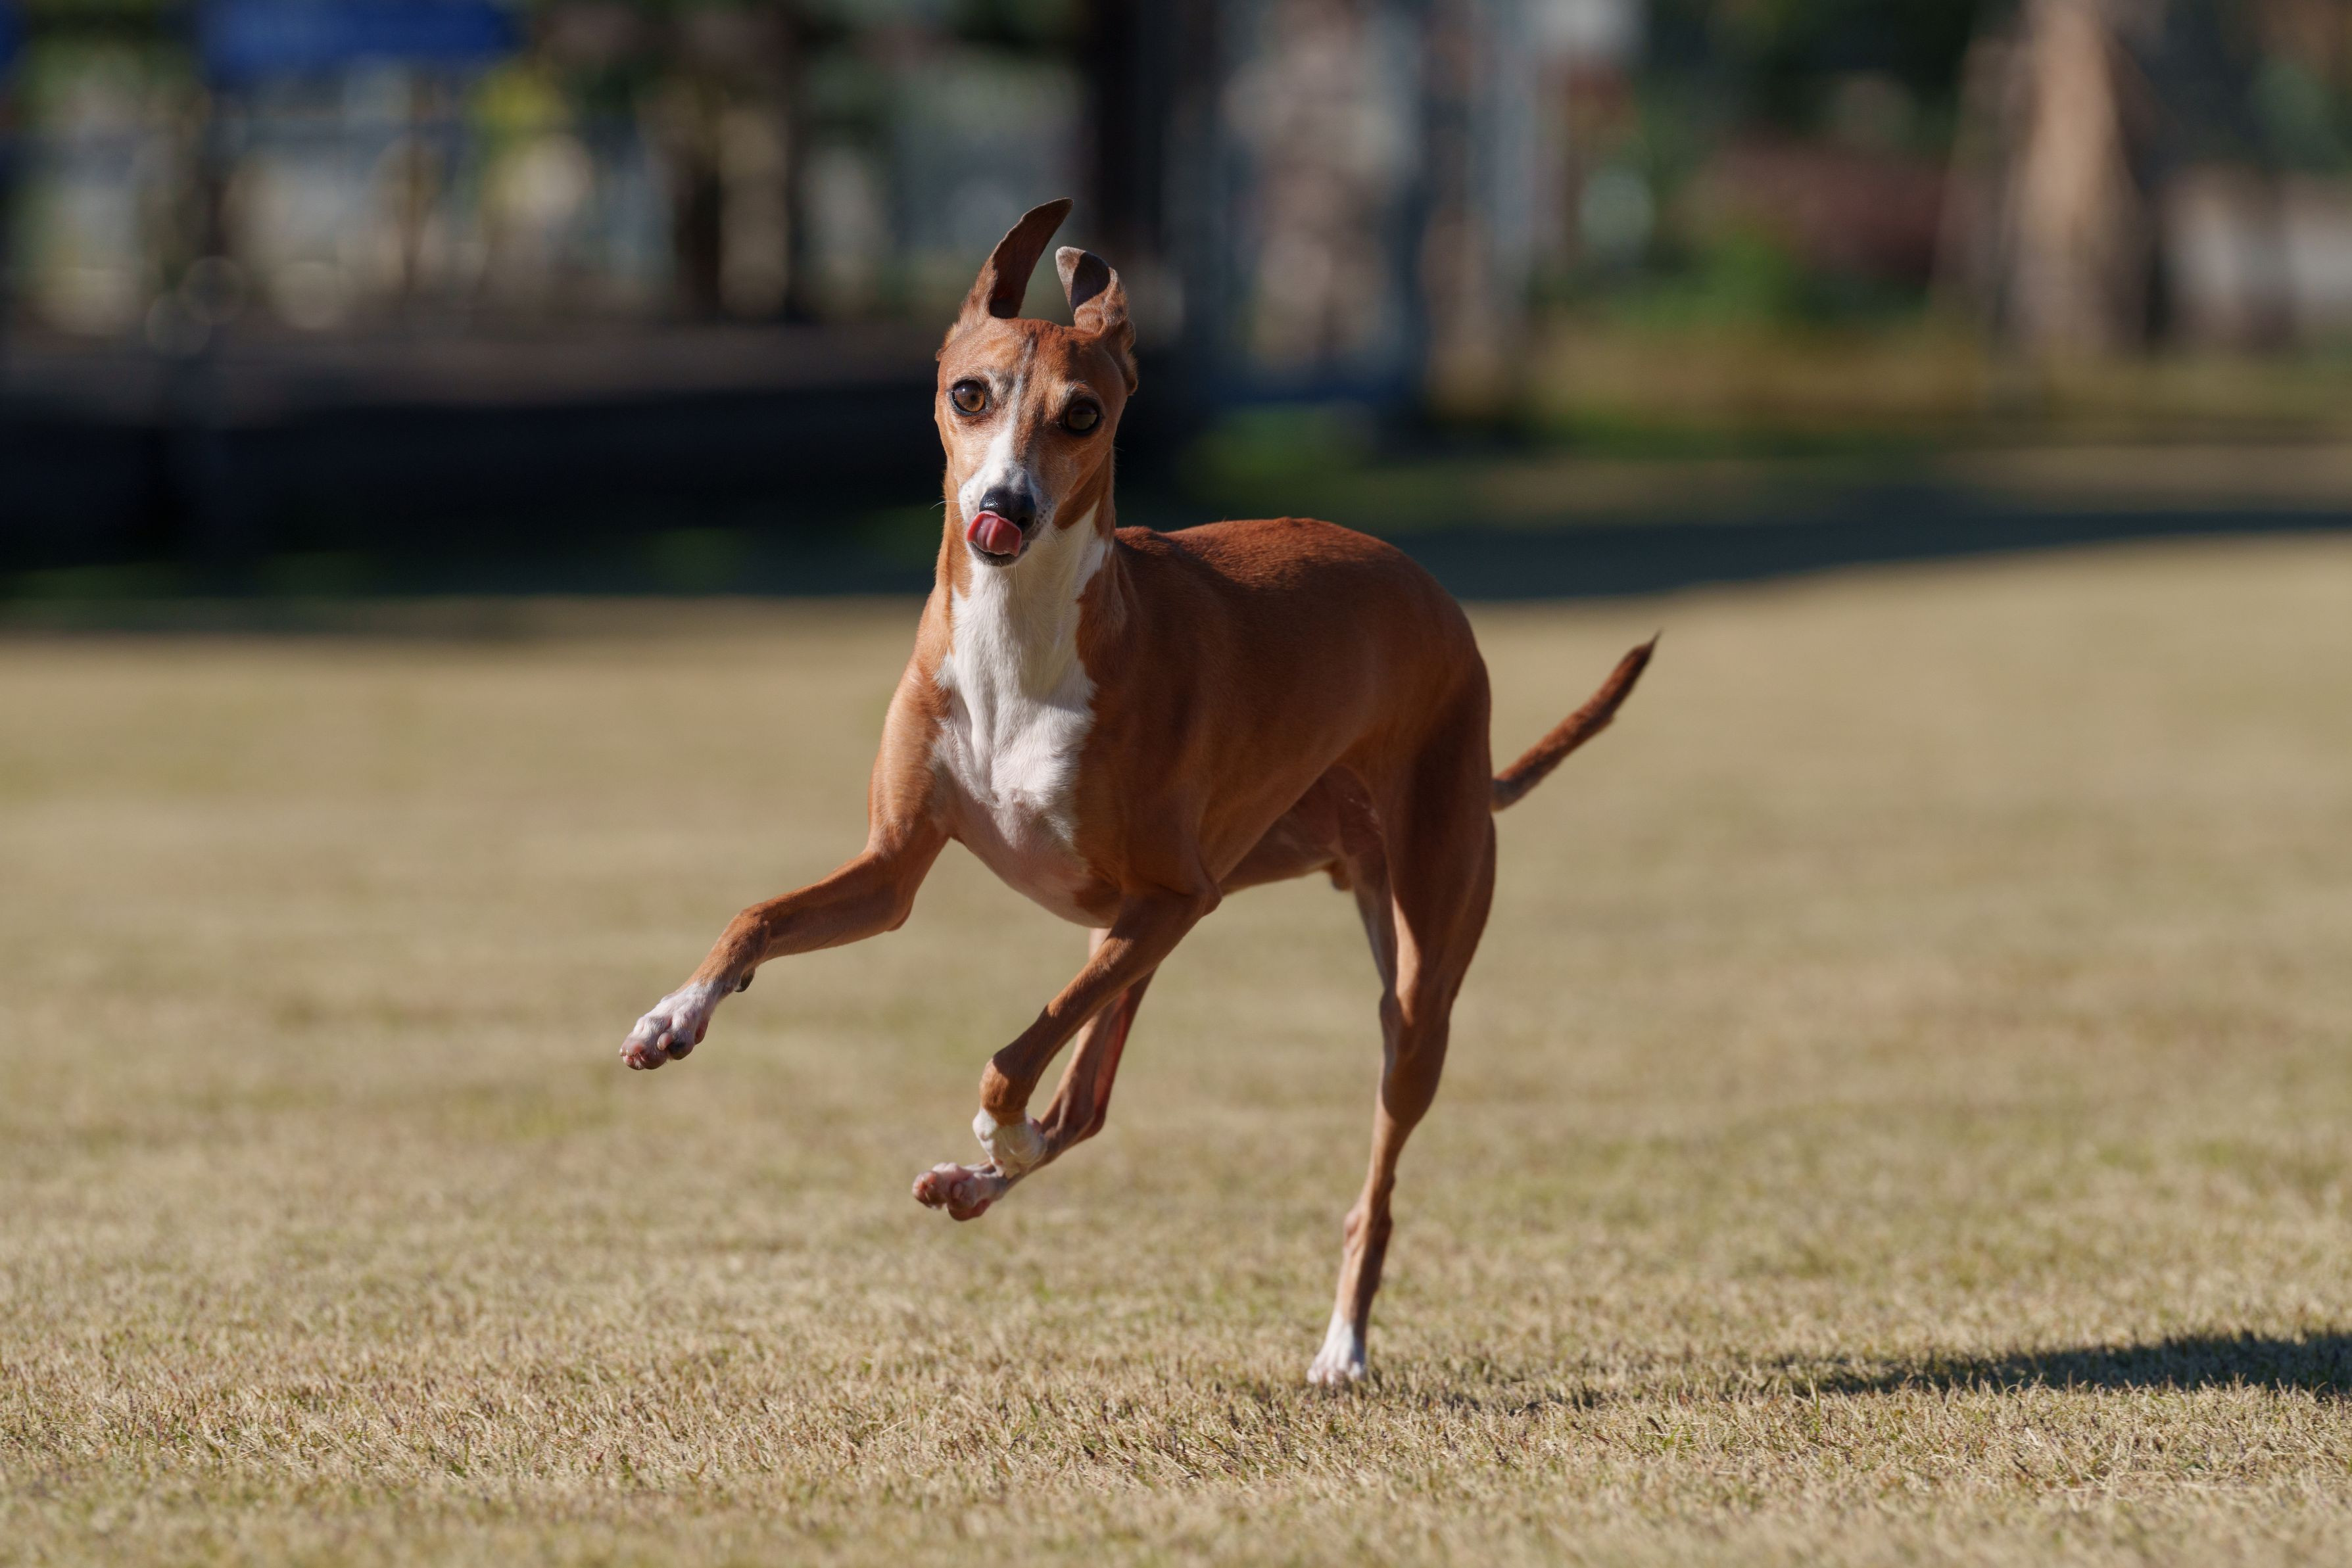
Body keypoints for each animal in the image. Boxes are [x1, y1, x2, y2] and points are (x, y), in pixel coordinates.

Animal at [621, 199, 1652, 1385]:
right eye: (969, 394)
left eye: (1083, 414)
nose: (1004, 507)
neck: (1021, 644)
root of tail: (1443, 611)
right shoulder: (898, 874)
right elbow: (760, 917)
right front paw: (675, 1013)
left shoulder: (1172, 898)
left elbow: (1009, 1056)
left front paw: (996, 1128)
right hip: (1138, 936)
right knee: (1091, 1100)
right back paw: (979, 1183)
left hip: (1400, 973)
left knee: (1371, 1170)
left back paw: (1340, 1342)